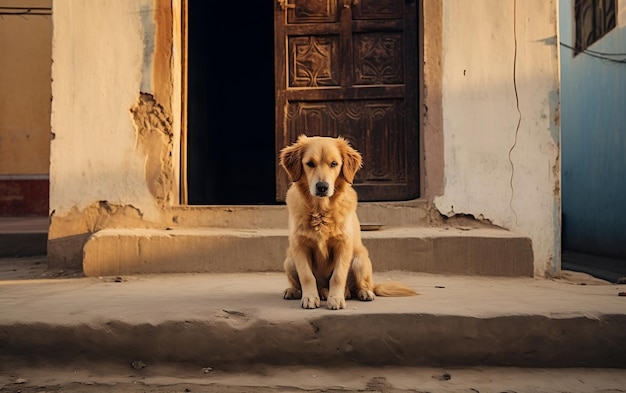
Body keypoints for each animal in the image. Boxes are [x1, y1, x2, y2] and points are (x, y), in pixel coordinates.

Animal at [276, 135, 414, 310]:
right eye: (310, 163)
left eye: (334, 164)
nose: (322, 187)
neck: (321, 211)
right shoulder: (299, 245)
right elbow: (307, 276)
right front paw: (310, 297)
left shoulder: (343, 244)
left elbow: (338, 276)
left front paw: (336, 298)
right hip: (289, 261)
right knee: (306, 283)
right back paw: (297, 291)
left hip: (360, 259)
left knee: (359, 286)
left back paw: (362, 293)